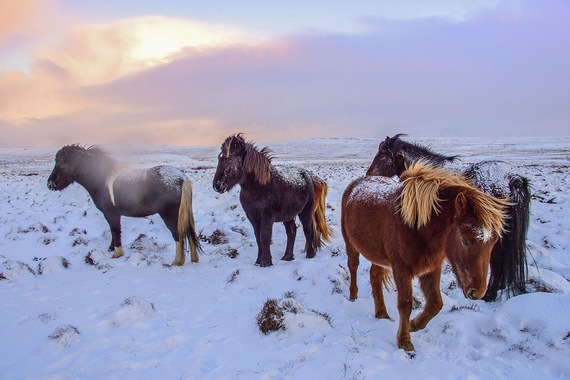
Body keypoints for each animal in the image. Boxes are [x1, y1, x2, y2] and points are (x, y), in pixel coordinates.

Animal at [47, 144, 201, 266]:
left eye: (61, 162)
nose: (50, 184)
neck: (101, 180)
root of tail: (182, 178)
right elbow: (113, 231)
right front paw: (111, 249)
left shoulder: (111, 213)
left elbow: (115, 231)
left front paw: (117, 253)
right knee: (190, 234)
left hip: (170, 215)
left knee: (178, 235)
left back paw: (177, 261)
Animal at [212, 134, 332, 268]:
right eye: (219, 158)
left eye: (230, 159)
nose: (217, 185)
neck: (259, 187)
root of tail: (309, 176)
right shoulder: (252, 217)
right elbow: (258, 237)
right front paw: (258, 261)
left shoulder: (267, 217)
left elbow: (265, 236)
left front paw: (266, 262)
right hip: (288, 215)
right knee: (291, 231)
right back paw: (288, 256)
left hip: (305, 212)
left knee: (308, 230)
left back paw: (310, 254)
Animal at [340, 161, 508, 354]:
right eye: (465, 240)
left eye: (493, 242)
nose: (477, 292)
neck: (417, 228)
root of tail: (355, 184)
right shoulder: (402, 271)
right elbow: (405, 304)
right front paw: (404, 341)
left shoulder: (431, 269)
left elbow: (436, 303)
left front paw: (414, 324)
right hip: (351, 244)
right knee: (353, 266)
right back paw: (353, 296)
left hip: (379, 256)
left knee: (375, 276)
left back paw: (382, 313)